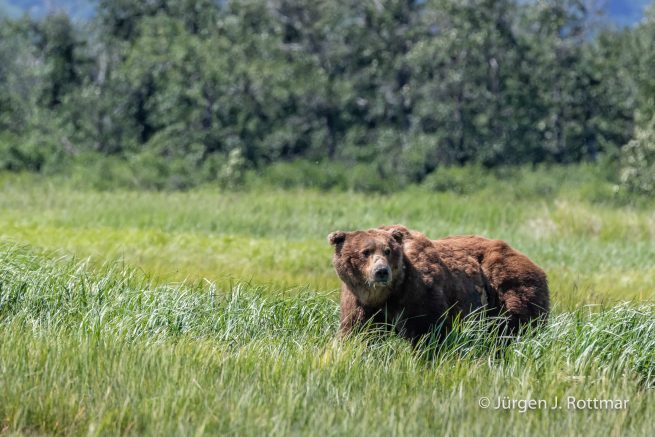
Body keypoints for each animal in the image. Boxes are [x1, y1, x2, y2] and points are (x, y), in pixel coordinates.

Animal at [328, 225, 549, 341]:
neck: (385, 295)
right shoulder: (358, 303)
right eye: (365, 252)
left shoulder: (419, 294)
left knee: (513, 326)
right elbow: (357, 333)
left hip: (509, 288)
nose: (381, 272)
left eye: (388, 251)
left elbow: (428, 330)